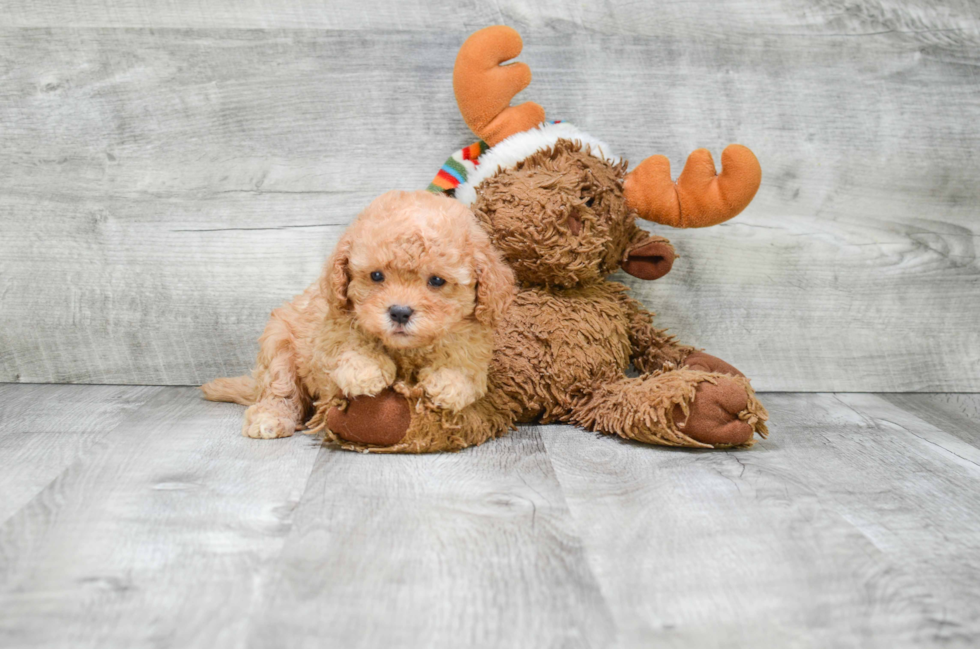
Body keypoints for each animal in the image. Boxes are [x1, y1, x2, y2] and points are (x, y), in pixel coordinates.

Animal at [203, 190, 516, 438]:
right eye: (376, 276)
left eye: (437, 281)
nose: (399, 312)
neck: (405, 350)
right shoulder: (330, 326)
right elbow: (348, 343)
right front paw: (367, 371)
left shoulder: (473, 334)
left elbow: (464, 361)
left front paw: (449, 383)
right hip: (278, 344)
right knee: (280, 390)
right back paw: (270, 418)